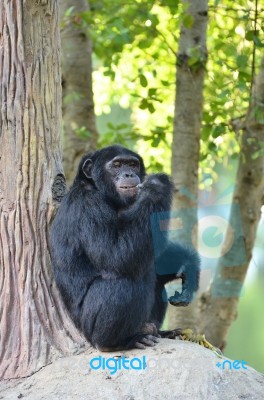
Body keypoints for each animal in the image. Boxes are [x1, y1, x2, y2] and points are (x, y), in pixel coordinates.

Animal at [50, 146, 200, 350]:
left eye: (133, 164)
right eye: (117, 165)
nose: (129, 173)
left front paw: (188, 266)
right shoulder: (88, 205)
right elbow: (117, 254)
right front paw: (157, 185)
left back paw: (162, 332)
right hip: (90, 329)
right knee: (124, 281)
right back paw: (123, 341)